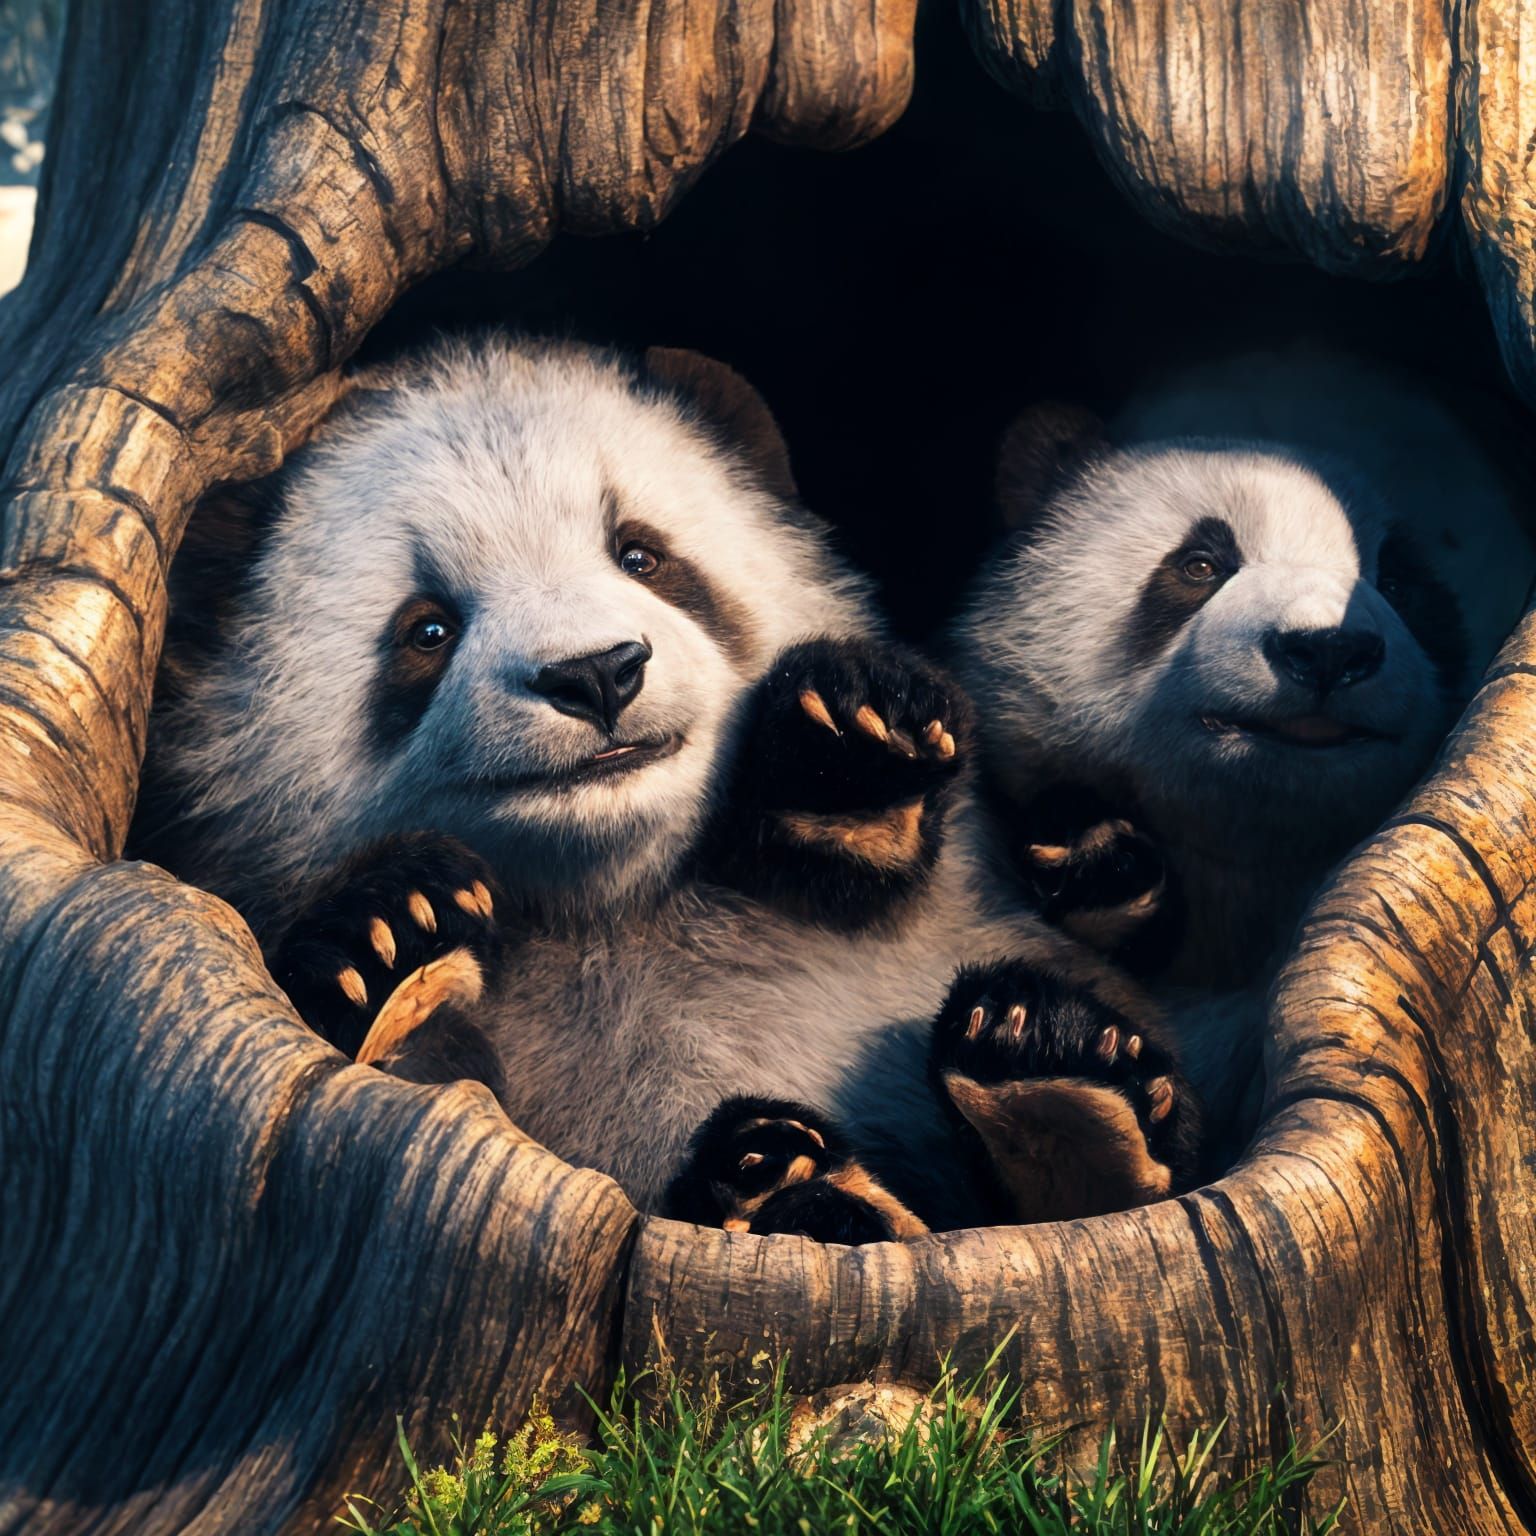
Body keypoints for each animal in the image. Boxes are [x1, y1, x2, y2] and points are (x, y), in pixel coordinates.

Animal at [134, 334, 1201, 1238]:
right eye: (427, 629)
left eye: (642, 554)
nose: (597, 674)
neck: (620, 907)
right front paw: (393, 936)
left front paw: (855, 743)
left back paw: (1044, 1072)